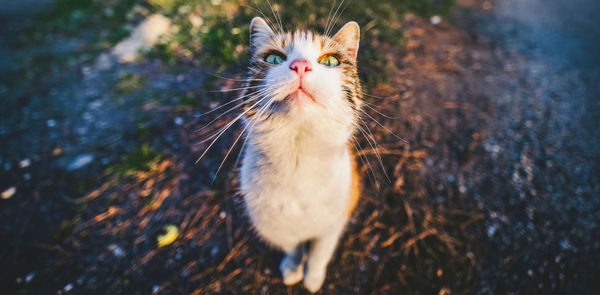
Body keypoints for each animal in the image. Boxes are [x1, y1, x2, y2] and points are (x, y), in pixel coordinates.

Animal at [238, 16, 360, 294]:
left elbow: (318, 254)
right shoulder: (280, 229)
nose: (301, 66)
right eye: (273, 58)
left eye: (330, 61)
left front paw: (312, 279)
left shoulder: (331, 226)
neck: (296, 161)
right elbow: (294, 251)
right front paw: (293, 270)